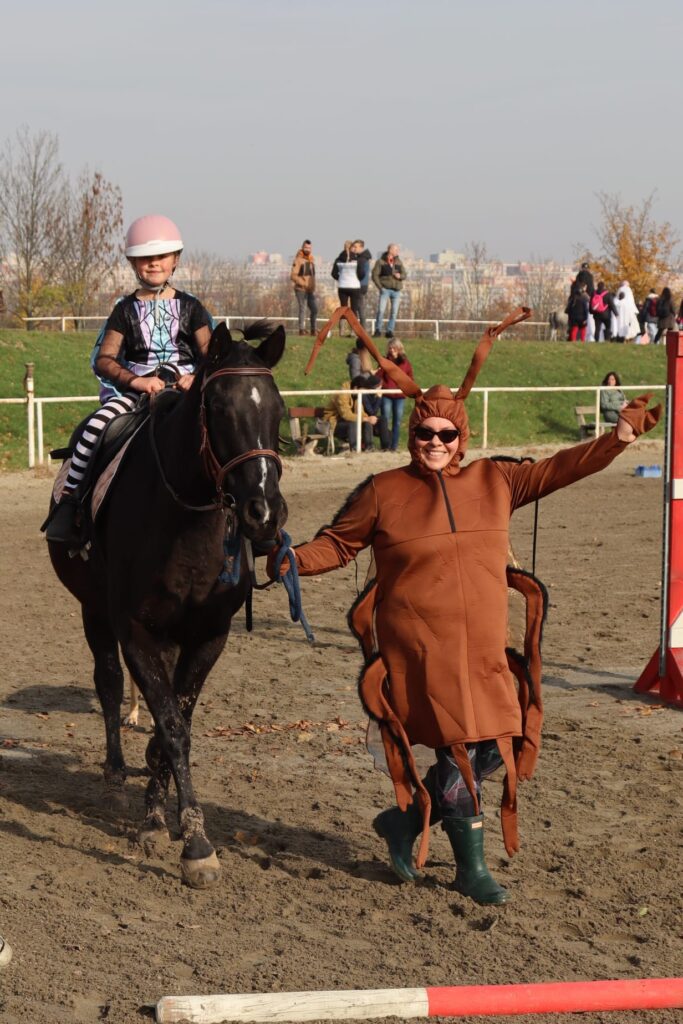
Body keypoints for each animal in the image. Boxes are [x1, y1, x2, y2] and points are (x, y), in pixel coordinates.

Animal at [47, 320, 288, 888]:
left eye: (278, 408)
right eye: (218, 408)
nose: (265, 512)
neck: (187, 520)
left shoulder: (206, 636)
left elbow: (174, 720)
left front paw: (159, 817)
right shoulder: (135, 630)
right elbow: (172, 727)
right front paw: (196, 843)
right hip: (93, 608)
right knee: (109, 682)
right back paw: (115, 770)